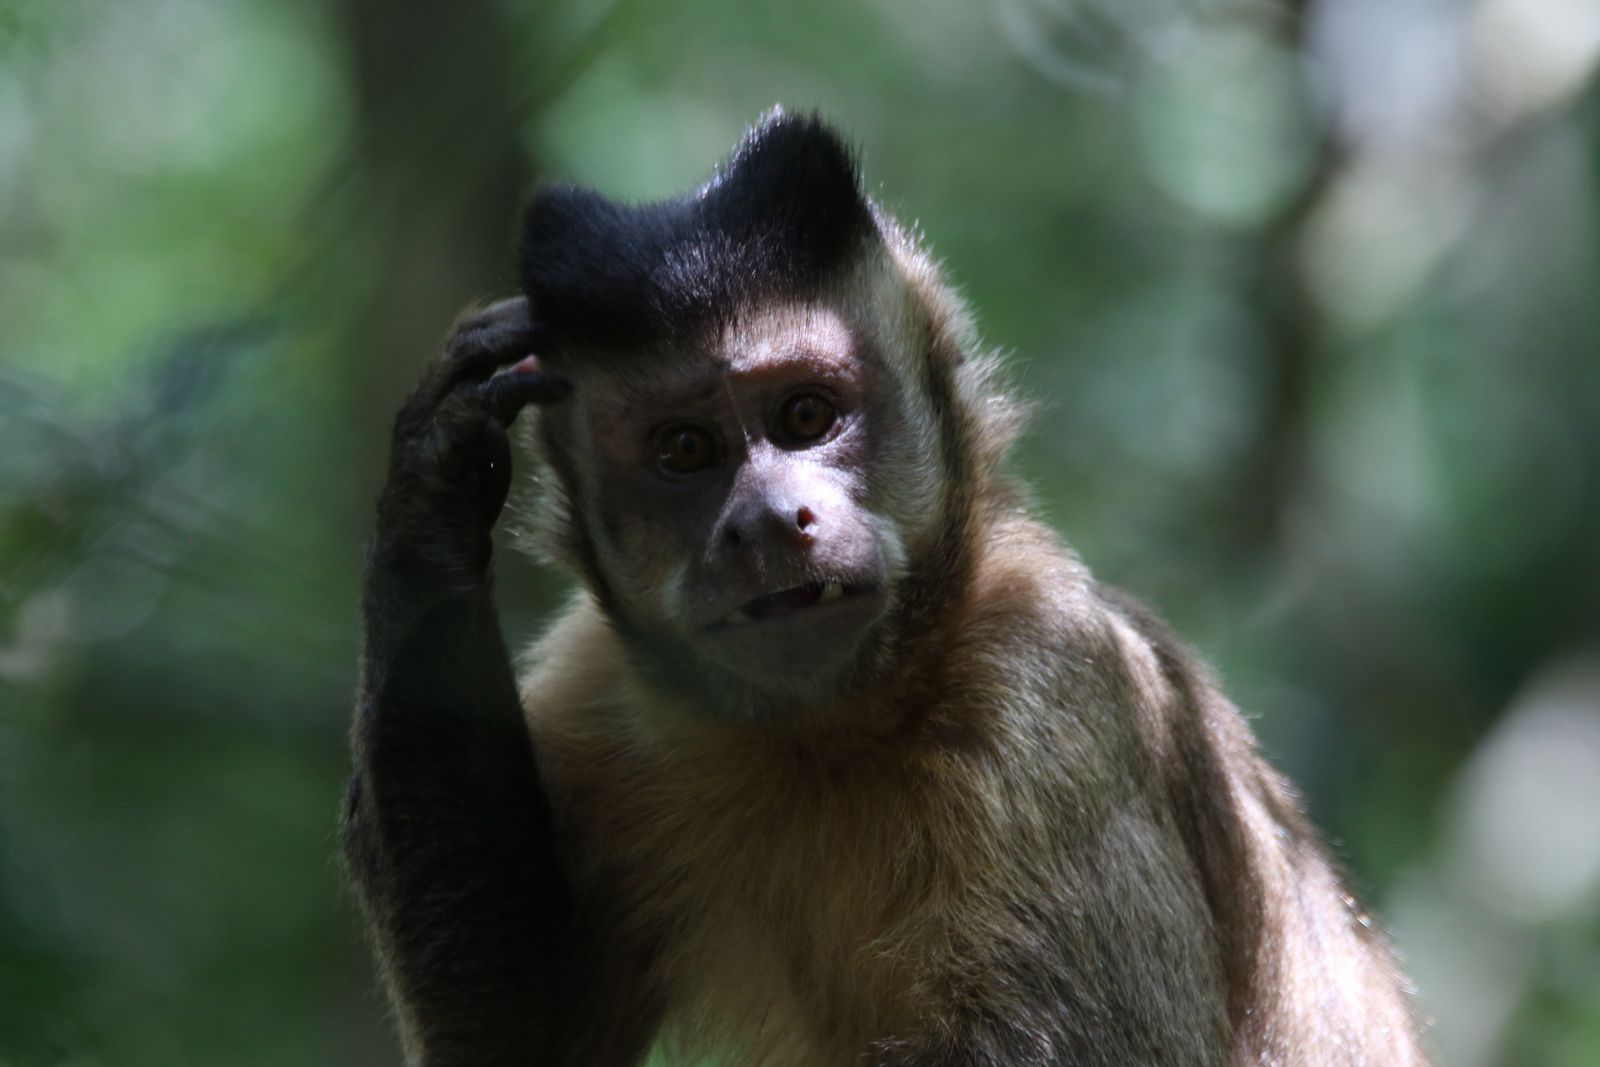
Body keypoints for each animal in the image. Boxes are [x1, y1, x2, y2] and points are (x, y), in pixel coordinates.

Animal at [342, 109, 1427, 1066]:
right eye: (685, 449)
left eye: (807, 414)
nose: (767, 518)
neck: (832, 731)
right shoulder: (596, 675)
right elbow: (524, 1042)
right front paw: (432, 498)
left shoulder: (1053, 678)